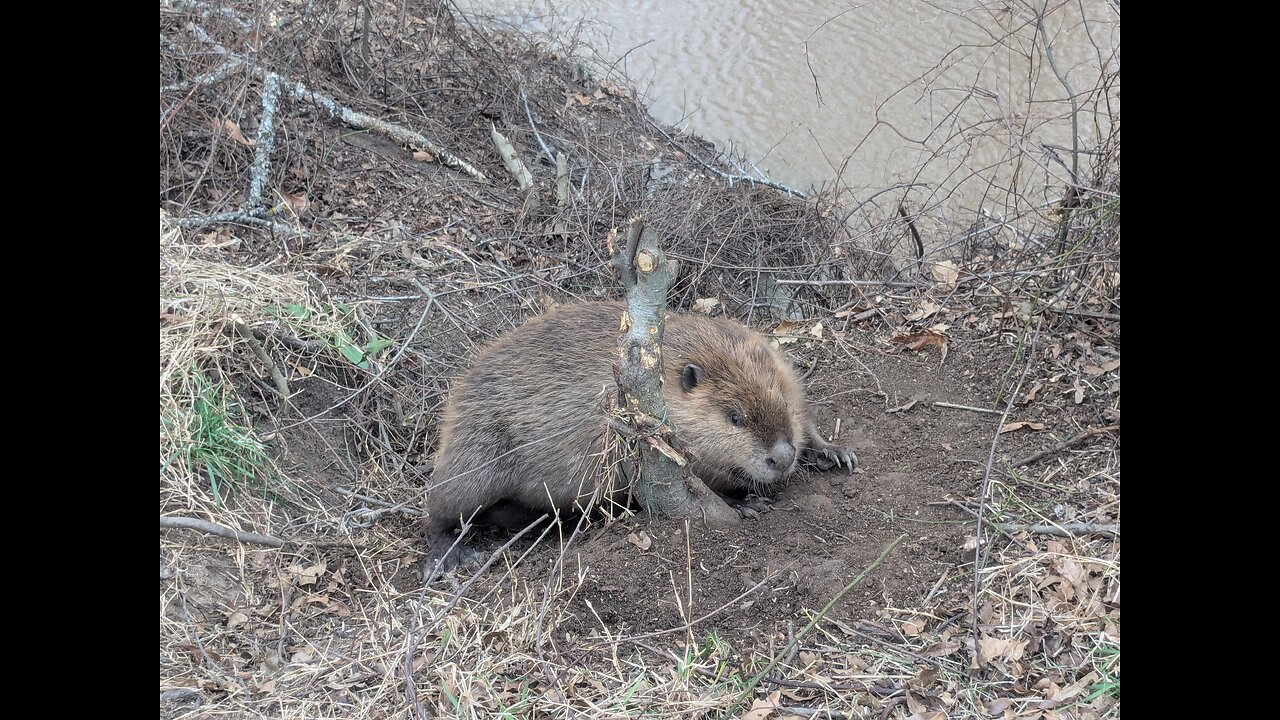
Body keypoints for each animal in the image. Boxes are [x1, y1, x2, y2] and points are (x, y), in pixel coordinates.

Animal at [424, 299, 855, 568]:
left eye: (781, 398)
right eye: (735, 417)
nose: (781, 457)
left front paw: (835, 452)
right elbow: (699, 485)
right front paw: (746, 505)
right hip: (478, 450)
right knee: (438, 507)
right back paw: (449, 558)